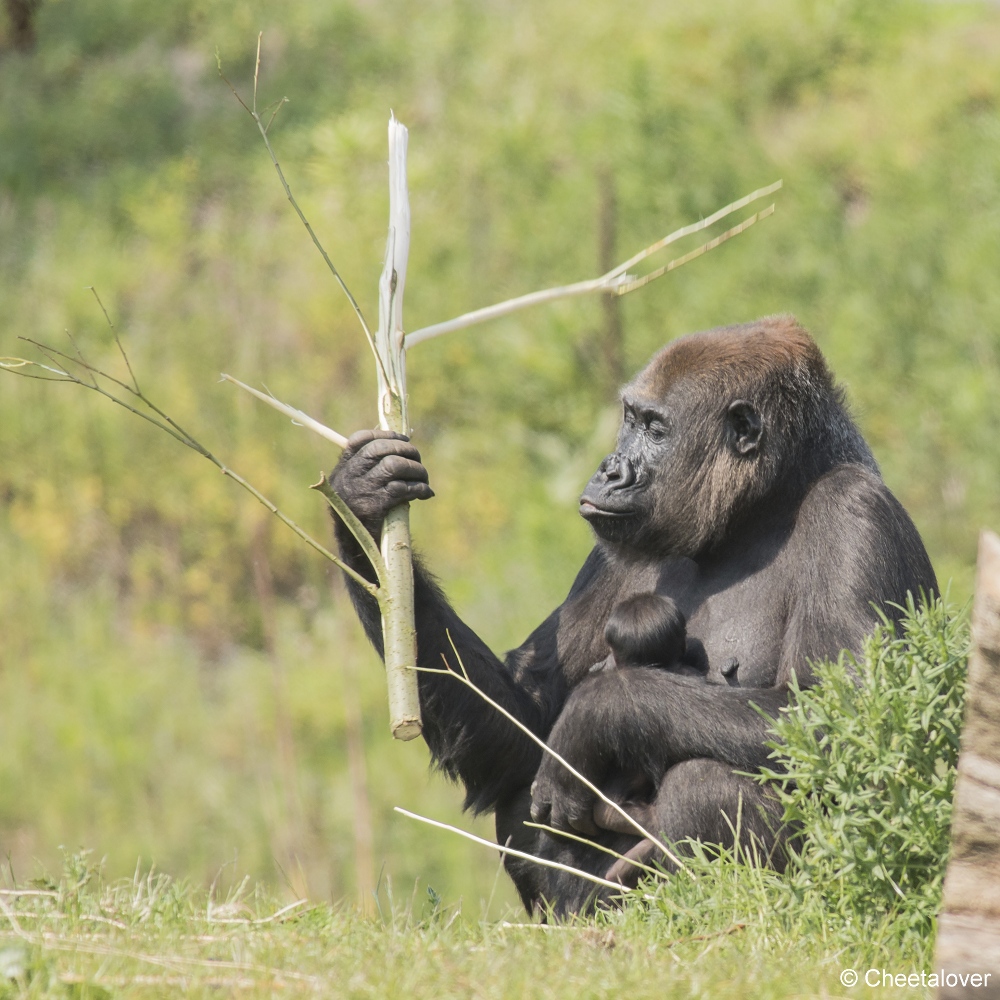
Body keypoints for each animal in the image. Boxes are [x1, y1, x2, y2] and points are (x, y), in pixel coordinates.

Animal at [330, 318, 936, 916]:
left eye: (656, 429)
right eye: (630, 420)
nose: (609, 470)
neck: (762, 507)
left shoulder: (854, 511)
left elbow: (849, 719)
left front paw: (600, 709)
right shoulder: (608, 551)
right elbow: (523, 726)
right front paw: (364, 499)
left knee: (705, 785)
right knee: (524, 791)